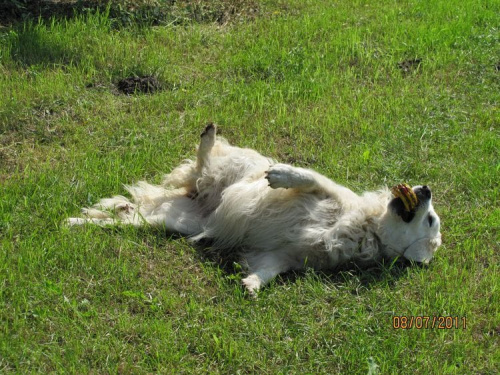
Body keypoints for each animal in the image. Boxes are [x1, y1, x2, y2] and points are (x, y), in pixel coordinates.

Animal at [67, 123, 442, 294]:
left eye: (430, 220)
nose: (426, 188)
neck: (367, 230)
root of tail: (192, 195)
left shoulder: (287, 254)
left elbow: (269, 269)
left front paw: (252, 283)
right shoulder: (327, 190)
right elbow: (307, 177)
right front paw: (280, 175)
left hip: (169, 220)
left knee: (125, 218)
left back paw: (77, 222)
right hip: (231, 167)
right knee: (205, 163)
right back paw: (208, 136)